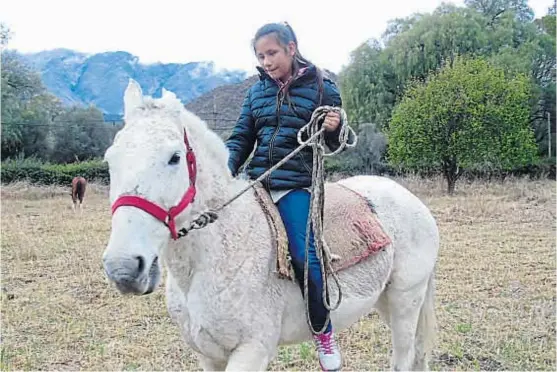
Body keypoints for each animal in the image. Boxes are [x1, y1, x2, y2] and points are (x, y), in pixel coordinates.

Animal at [101, 80, 438, 370]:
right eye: (110, 159)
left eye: (174, 158)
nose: (123, 268)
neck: (220, 252)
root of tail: (414, 203)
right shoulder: (208, 356)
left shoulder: (251, 351)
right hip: (386, 302)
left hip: (406, 301)